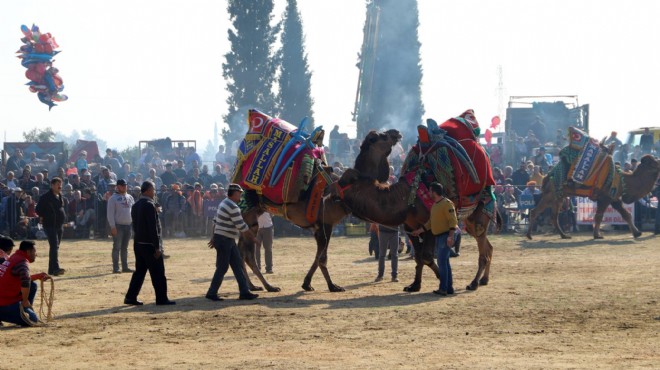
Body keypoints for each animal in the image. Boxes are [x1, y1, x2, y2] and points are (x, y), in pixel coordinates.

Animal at [336, 110, 500, 292]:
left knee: (483, 249)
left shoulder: (430, 226)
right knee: (488, 247)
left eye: (375, 137)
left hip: (481, 211)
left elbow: (427, 256)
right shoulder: (411, 228)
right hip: (471, 218)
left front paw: (441, 278)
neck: (406, 198)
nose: (395, 132)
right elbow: (419, 258)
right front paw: (414, 285)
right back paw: (484, 279)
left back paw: (474, 282)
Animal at [524, 127, 660, 240]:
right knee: (536, 211)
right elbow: (599, 216)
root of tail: (547, 176)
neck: (622, 180)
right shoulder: (604, 197)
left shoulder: (613, 197)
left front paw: (637, 233)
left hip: (559, 196)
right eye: (654, 162)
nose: (659, 161)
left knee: (553, 216)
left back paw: (564, 235)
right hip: (551, 194)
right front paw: (597, 235)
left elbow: (626, 214)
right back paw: (530, 235)